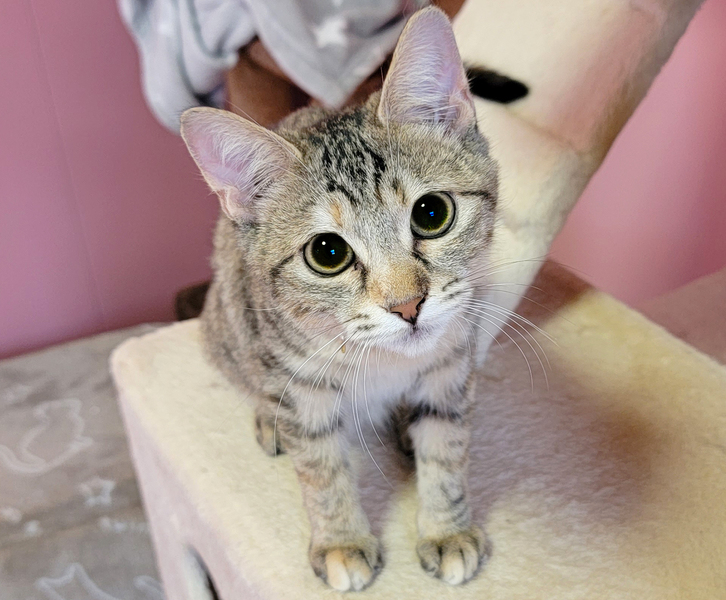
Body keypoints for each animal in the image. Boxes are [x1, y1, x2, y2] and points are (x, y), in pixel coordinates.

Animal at [181, 7, 500, 592]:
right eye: (327, 253)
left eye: (432, 213)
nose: (407, 304)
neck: (386, 364)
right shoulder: (301, 388)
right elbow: (322, 470)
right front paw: (342, 542)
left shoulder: (450, 364)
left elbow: (447, 448)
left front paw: (446, 528)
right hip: (228, 329)